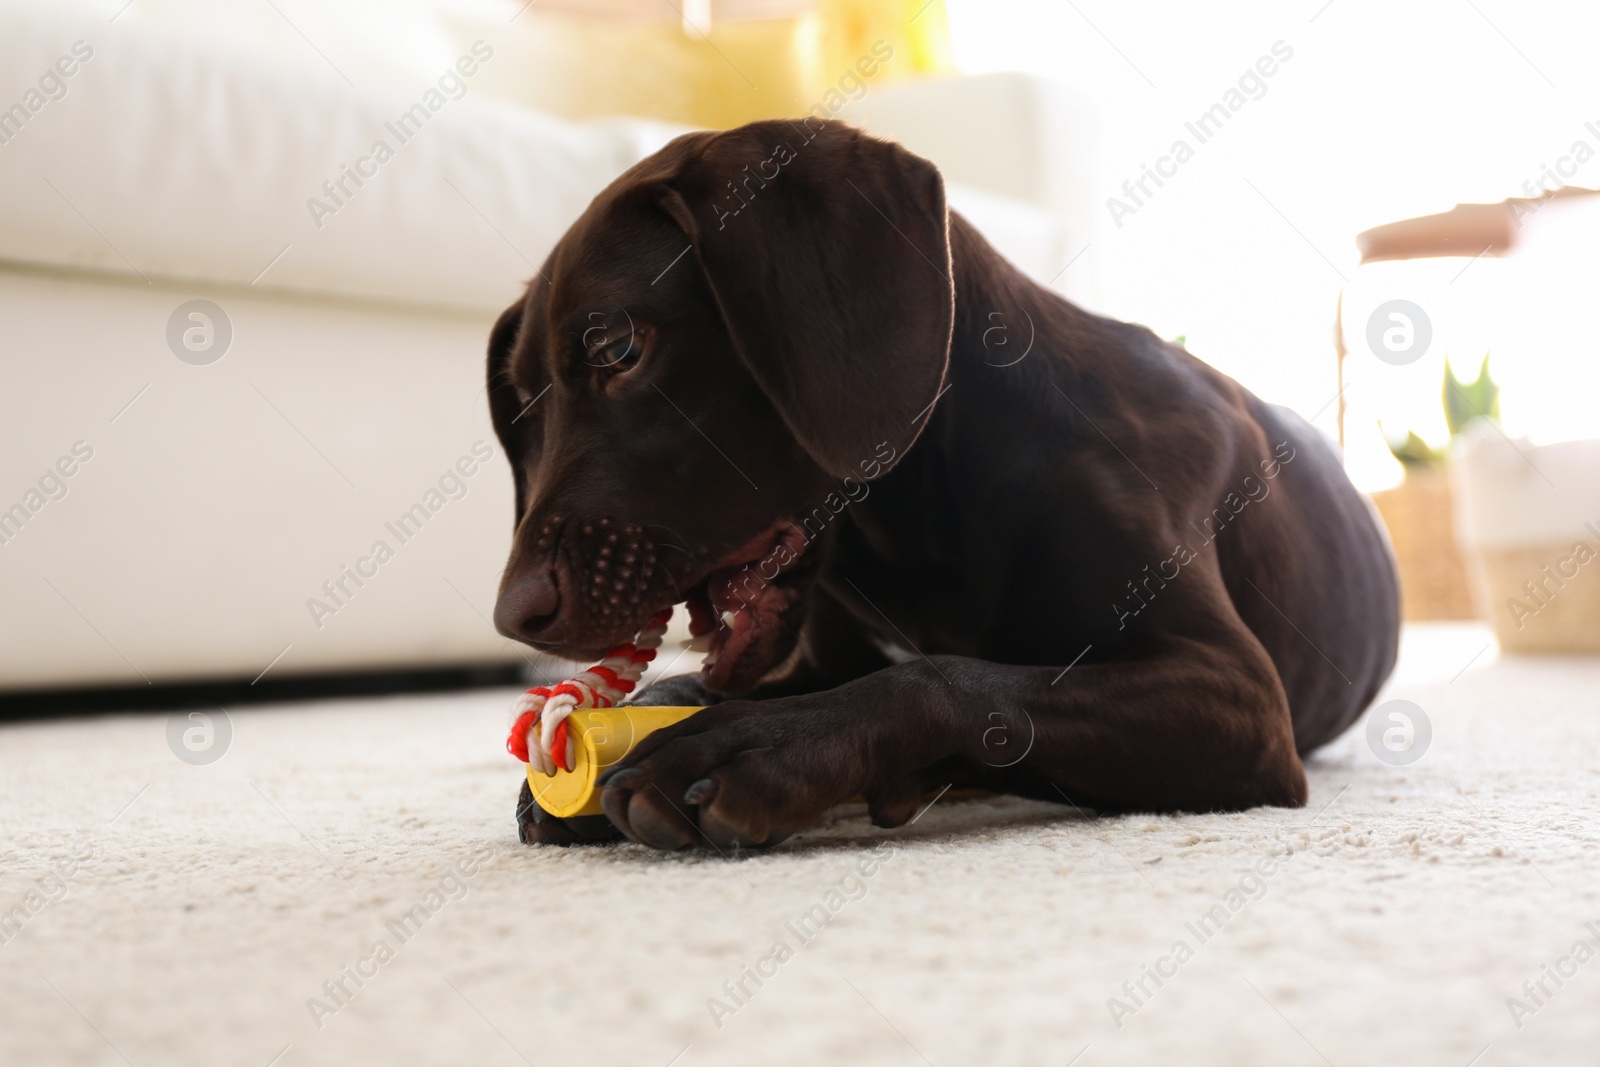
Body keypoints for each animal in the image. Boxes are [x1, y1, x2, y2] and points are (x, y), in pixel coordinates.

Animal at [486, 116, 1401, 851]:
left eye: (617, 348)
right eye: (520, 407)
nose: (513, 614)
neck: (914, 528)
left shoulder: (1237, 692)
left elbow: (943, 677)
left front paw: (752, 746)